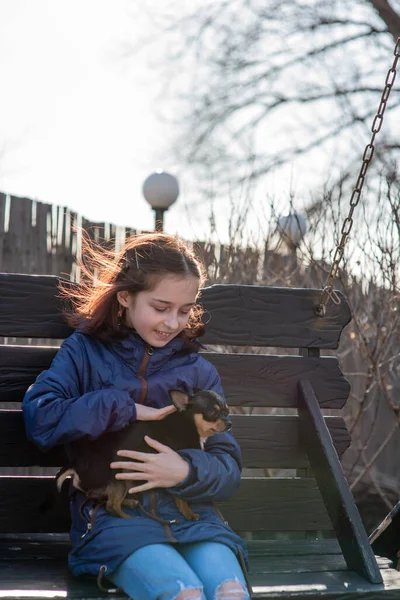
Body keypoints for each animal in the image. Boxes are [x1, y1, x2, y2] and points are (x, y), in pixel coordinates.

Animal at [56, 390, 231, 520]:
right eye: (212, 412)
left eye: (227, 411)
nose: (229, 423)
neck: (188, 424)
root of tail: (76, 463)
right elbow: (181, 498)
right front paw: (189, 514)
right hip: (118, 476)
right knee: (111, 505)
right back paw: (128, 518)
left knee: (98, 496)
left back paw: (129, 503)